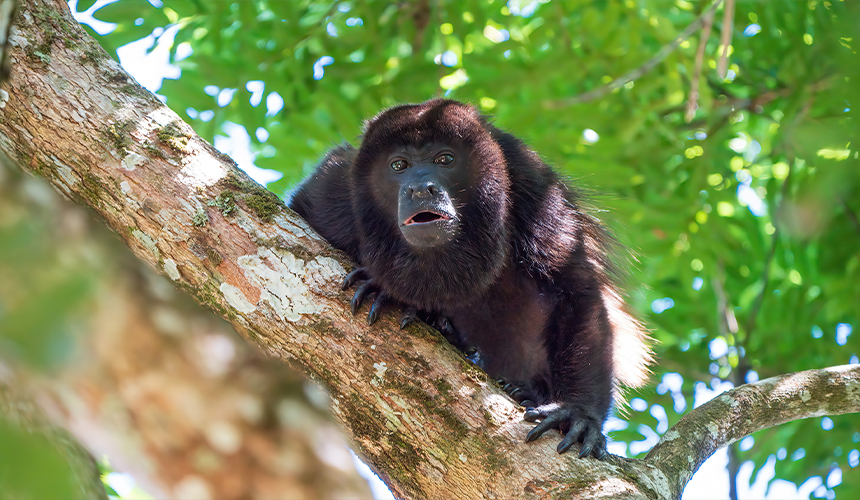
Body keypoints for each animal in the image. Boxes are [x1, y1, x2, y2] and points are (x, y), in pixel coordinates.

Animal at [288, 99, 652, 458]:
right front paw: (385, 290)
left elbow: (571, 281)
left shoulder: (531, 181)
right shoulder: (336, 189)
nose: (420, 188)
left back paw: (520, 390)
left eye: (445, 159)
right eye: (399, 165)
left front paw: (579, 413)